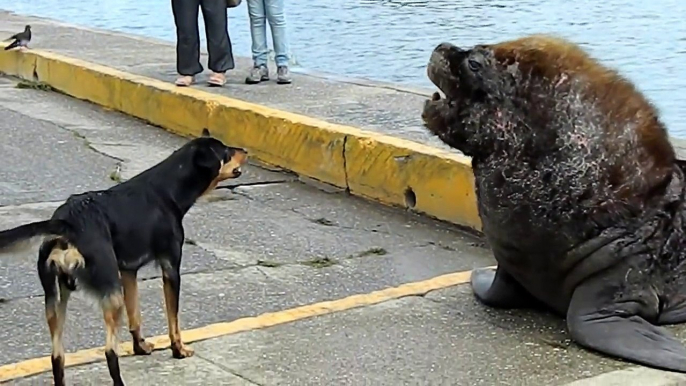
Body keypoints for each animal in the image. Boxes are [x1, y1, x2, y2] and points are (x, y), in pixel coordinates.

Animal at [0, 130, 249, 386]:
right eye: (226, 152)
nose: (245, 151)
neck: (168, 189)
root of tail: (67, 223)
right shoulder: (170, 268)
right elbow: (174, 320)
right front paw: (178, 350)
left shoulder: (128, 272)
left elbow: (135, 315)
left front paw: (140, 347)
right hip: (111, 294)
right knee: (110, 351)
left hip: (57, 299)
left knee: (57, 356)